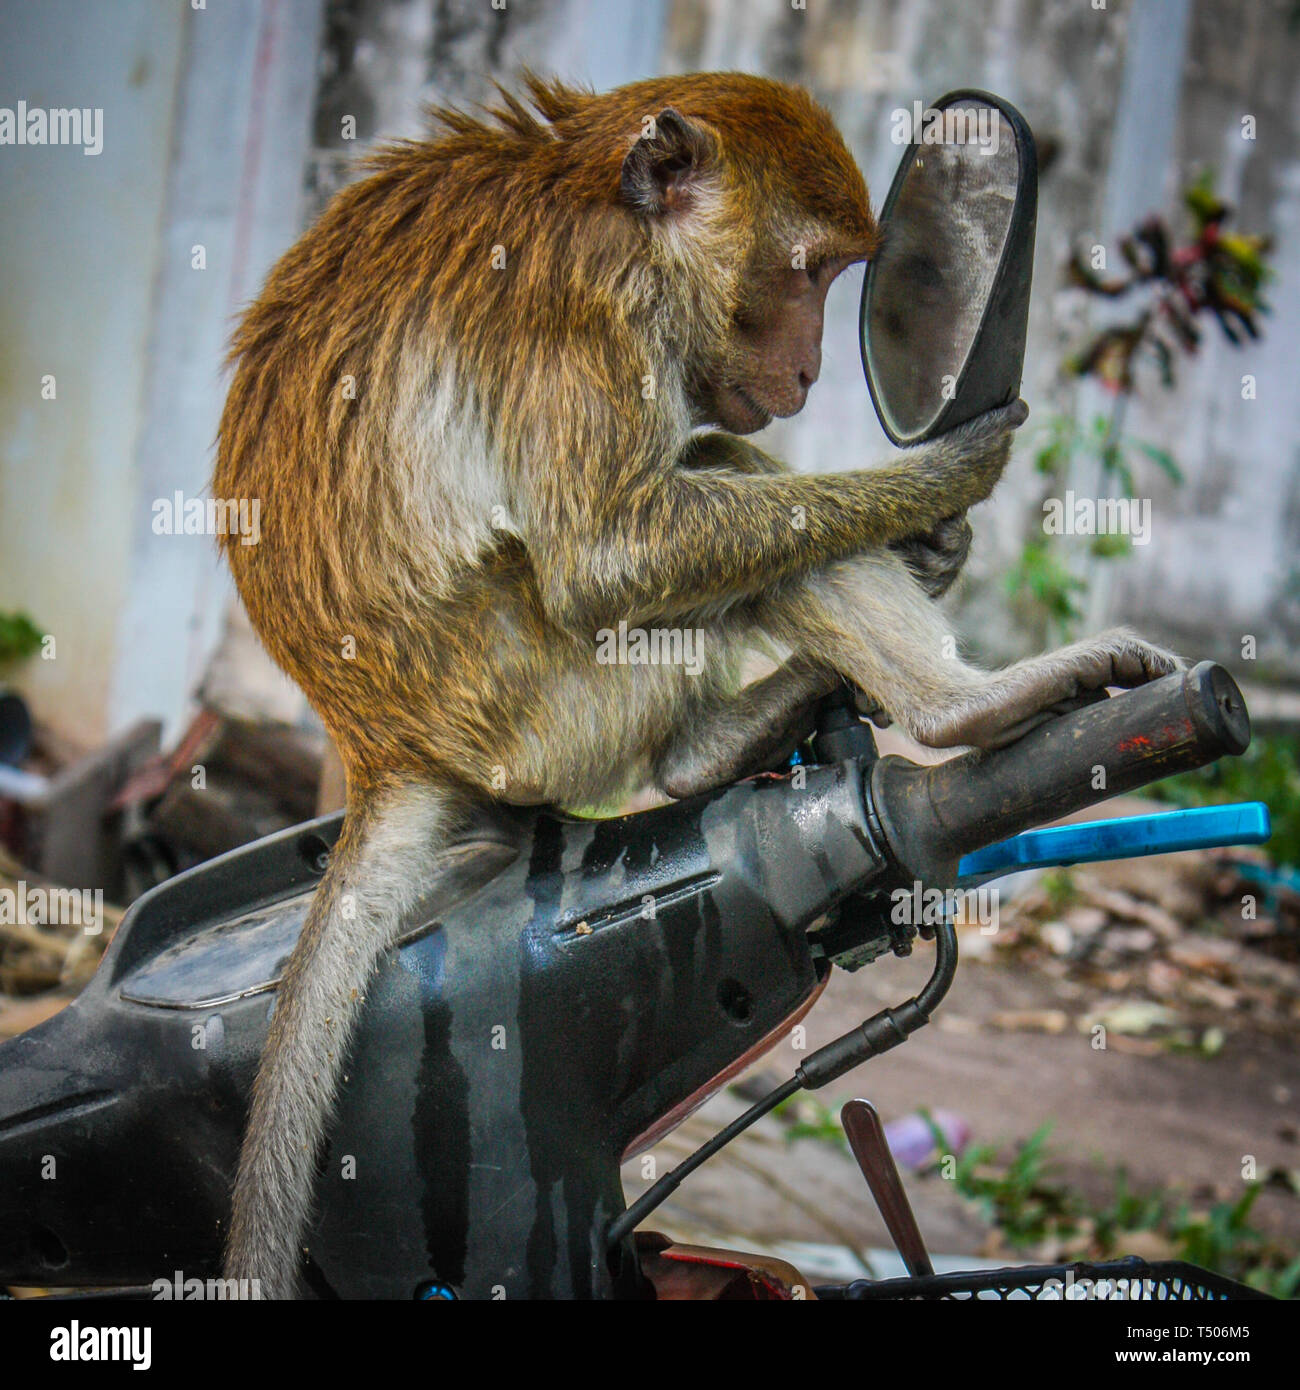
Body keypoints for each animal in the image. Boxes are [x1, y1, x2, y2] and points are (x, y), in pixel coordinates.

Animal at [213, 72, 1178, 1296]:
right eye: (810, 273)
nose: (812, 370)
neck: (599, 202)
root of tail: (383, 748)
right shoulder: (588, 313)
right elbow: (609, 558)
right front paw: (940, 477)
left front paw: (935, 542)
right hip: (549, 699)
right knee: (700, 486)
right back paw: (955, 707)